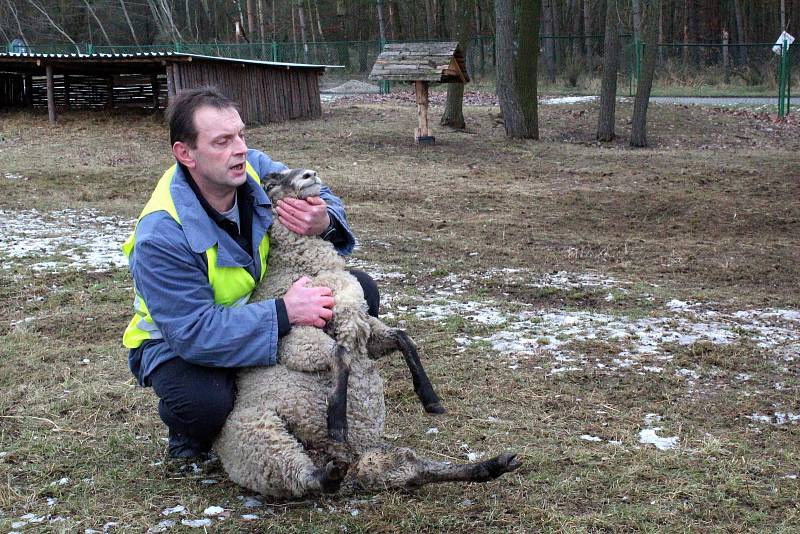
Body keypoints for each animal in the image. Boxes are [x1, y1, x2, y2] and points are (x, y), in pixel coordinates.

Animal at [212, 170, 520, 500]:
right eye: (271, 182)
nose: (310, 175)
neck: (304, 262)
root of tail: (348, 464)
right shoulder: (298, 334)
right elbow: (340, 354)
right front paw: (336, 422)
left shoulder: (364, 329)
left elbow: (404, 339)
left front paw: (431, 399)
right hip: (258, 437)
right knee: (302, 477)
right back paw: (330, 470)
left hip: (376, 461)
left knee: (413, 470)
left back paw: (494, 464)